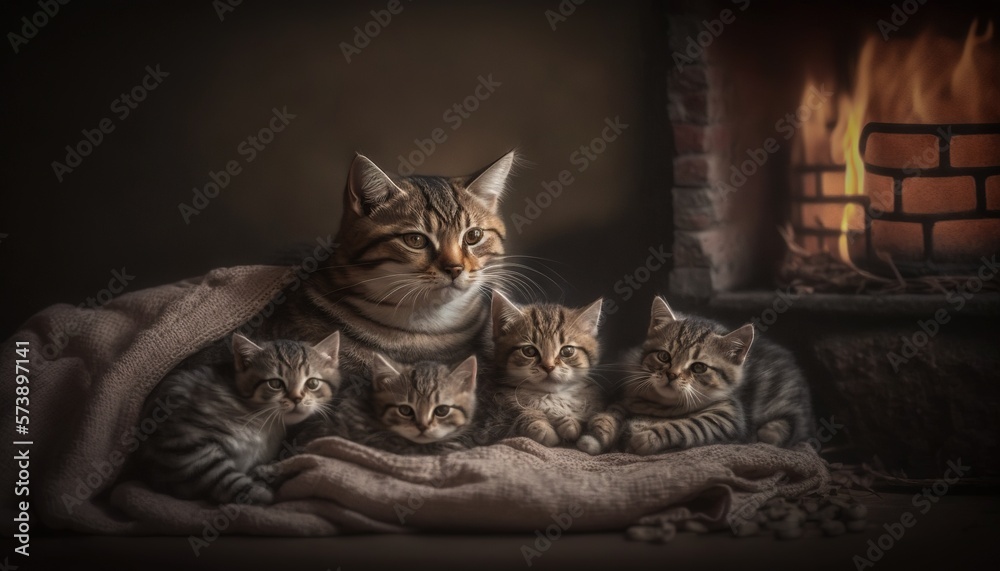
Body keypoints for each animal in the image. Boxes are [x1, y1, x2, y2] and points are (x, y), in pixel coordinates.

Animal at [137, 332, 342, 502]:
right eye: (275, 384)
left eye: (312, 383)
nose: (297, 398)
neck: (261, 419)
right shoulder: (182, 440)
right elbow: (221, 476)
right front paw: (260, 494)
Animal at [488, 292, 604, 450]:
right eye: (529, 351)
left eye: (567, 351)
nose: (548, 366)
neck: (549, 396)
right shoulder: (495, 416)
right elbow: (519, 415)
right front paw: (540, 426)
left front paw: (569, 421)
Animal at [580, 300, 812, 456]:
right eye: (664, 356)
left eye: (699, 367)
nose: (672, 374)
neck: (661, 405)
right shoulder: (630, 395)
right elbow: (614, 410)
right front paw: (601, 429)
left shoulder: (728, 415)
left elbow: (688, 425)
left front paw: (648, 437)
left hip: (780, 420)